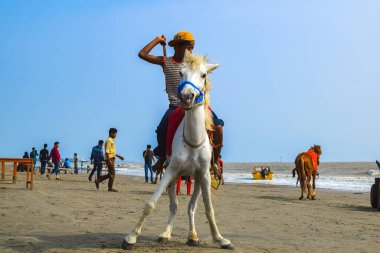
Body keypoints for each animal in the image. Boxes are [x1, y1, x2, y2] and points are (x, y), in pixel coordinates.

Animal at [123, 52, 233, 250]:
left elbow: (208, 209)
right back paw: (165, 234)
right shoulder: (172, 170)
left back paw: (192, 236)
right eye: (181, 73)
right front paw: (131, 237)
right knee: (174, 206)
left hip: (196, 179)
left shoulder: (204, 175)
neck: (193, 141)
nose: (187, 96)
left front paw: (221, 239)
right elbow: (150, 204)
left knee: (191, 207)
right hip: (173, 176)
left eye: (204, 74)